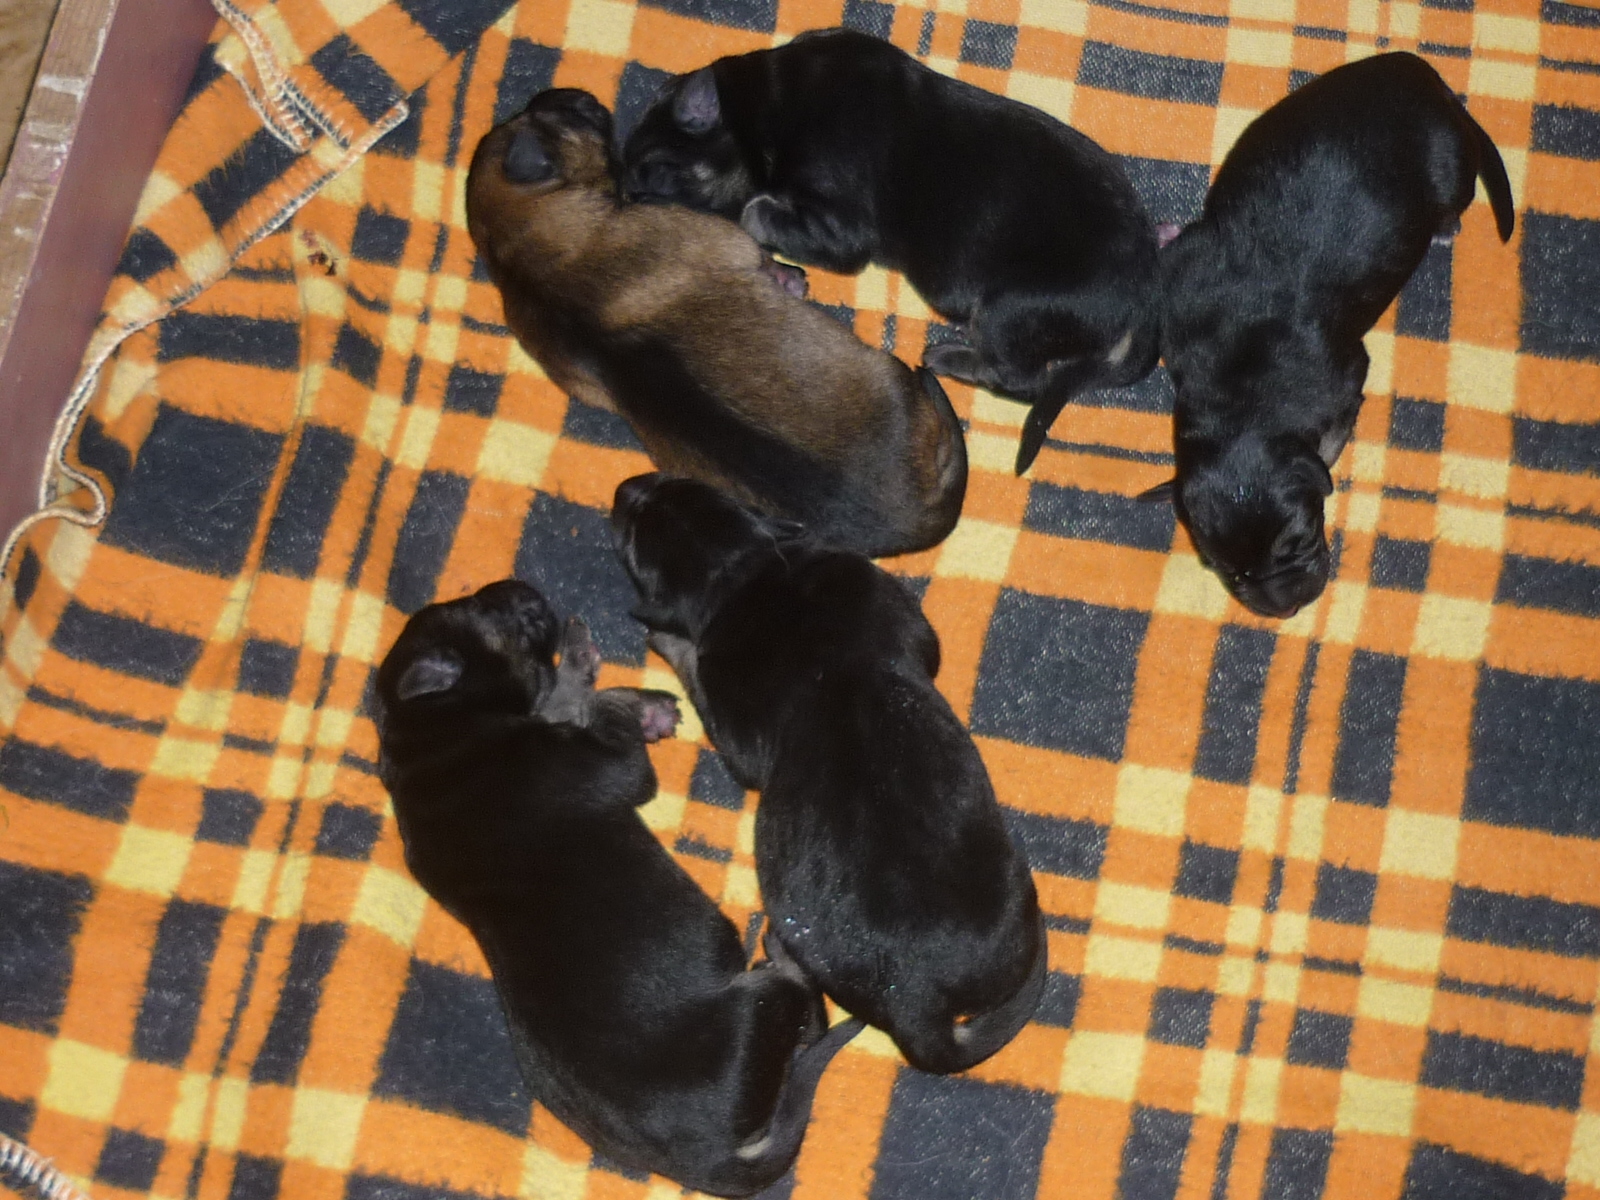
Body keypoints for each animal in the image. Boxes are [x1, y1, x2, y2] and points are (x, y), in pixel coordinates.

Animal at [374, 579, 861, 1197]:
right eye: (481, 609)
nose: (522, 587)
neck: (427, 731)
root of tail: (703, 1160)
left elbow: (563, 703)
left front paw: (618, 690)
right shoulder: (604, 765)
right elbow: (587, 710)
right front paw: (592, 672)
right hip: (755, 1011)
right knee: (806, 1015)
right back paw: (787, 954)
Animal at [465, 87, 966, 558]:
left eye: (535, 109)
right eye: (565, 115)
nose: (575, 94)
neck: (514, 248)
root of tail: (917, 519)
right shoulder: (719, 236)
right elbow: (757, 255)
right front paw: (786, 278)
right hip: (891, 370)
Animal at [611, 474, 1046, 1074]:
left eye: (633, 536)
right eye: (678, 482)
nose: (626, 487)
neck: (746, 571)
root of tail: (917, 999)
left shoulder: (729, 703)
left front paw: (671, 641)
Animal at [621, 28, 1161, 475]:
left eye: (656, 176)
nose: (625, 203)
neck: (769, 101)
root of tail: (1143, 299)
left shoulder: (842, 227)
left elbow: (755, 210)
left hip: (1011, 311)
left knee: (1019, 378)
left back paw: (948, 357)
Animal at [1151, 52, 1515, 617]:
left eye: (1298, 541)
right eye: (1225, 569)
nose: (1286, 608)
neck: (1239, 396)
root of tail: (1429, 81)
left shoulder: (1344, 378)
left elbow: (1332, 434)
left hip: (1451, 165)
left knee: (1456, 195)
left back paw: (1444, 226)